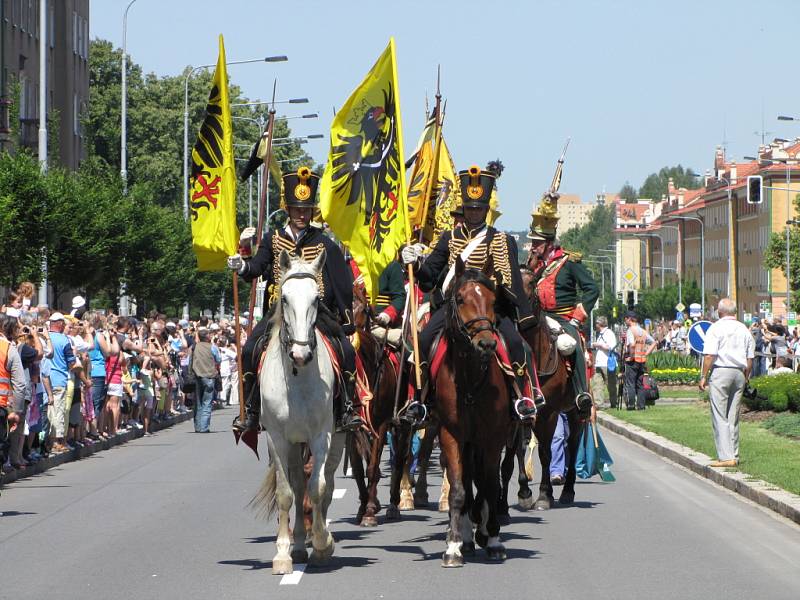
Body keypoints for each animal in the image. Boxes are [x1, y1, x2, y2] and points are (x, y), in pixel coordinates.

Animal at [252, 250, 346, 576]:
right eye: (284, 299)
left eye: (317, 299)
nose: (301, 354)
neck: (297, 377)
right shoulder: (277, 440)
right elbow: (286, 492)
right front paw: (283, 554)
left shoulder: (322, 436)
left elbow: (318, 489)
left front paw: (322, 544)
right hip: (293, 445)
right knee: (297, 483)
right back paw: (299, 544)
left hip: (337, 440)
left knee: (325, 484)